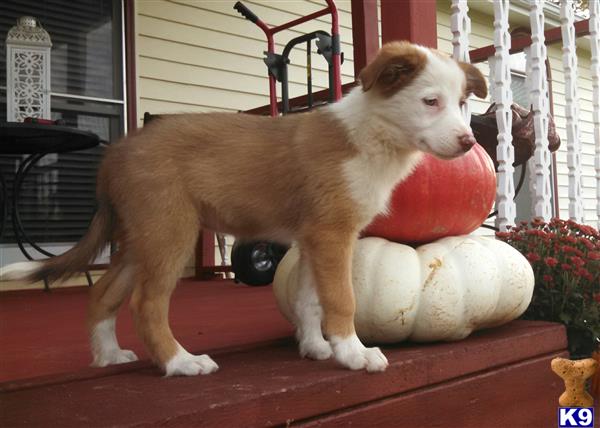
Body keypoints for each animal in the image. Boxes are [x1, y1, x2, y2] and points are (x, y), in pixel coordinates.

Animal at [1, 42, 488, 374]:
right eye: (430, 102)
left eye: (463, 103)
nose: (470, 142)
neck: (373, 134)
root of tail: (117, 153)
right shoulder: (333, 233)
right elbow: (340, 298)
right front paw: (353, 353)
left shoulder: (312, 238)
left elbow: (309, 299)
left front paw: (316, 348)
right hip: (170, 231)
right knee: (146, 303)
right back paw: (180, 363)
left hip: (141, 236)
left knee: (103, 292)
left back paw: (107, 355)